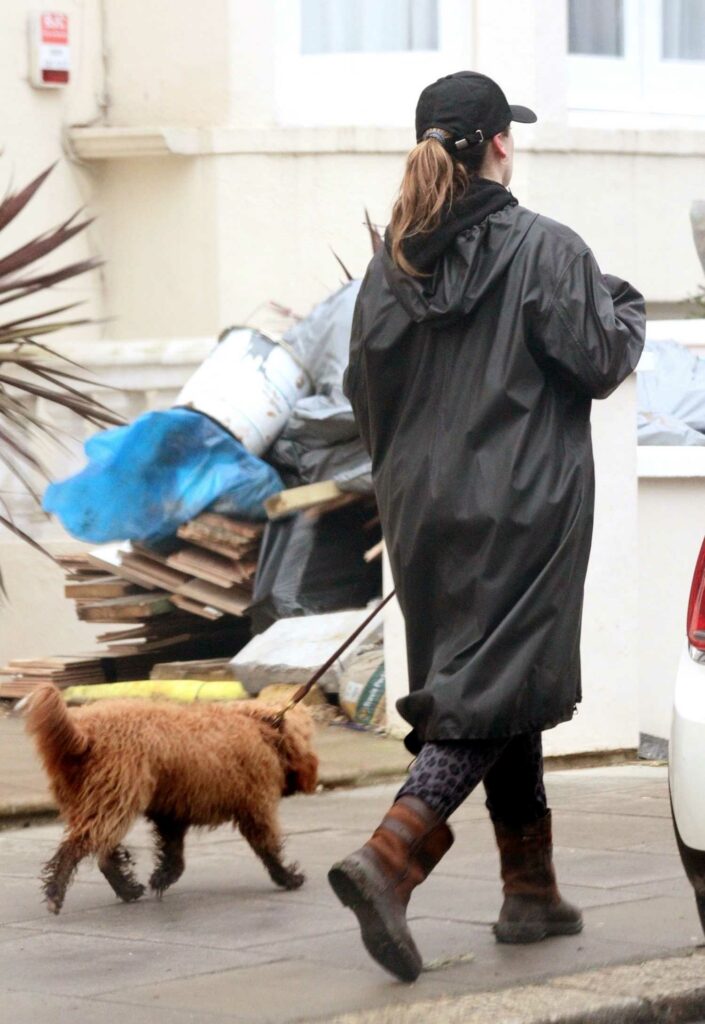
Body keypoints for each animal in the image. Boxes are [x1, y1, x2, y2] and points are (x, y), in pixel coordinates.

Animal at [24, 684, 317, 917]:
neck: (262, 726)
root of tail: (84, 733)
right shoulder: (256, 806)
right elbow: (268, 846)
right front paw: (287, 876)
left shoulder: (172, 812)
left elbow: (174, 853)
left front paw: (162, 877)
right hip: (113, 799)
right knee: (78, 847)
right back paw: (56, 893)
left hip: (96, 801)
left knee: (102, 851)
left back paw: (126, 887)